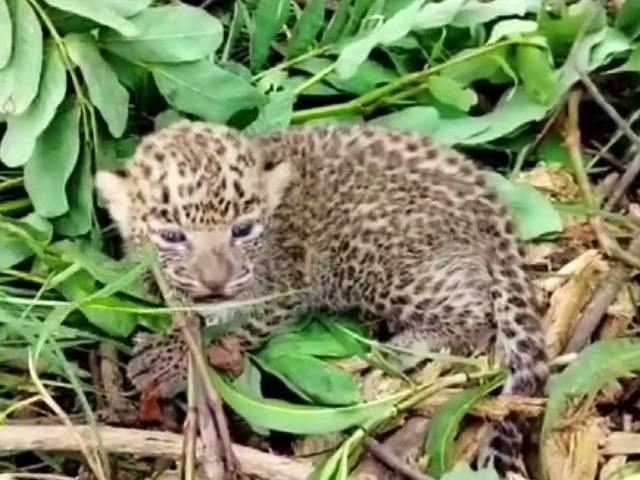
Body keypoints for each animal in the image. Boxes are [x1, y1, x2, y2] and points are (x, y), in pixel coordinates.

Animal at [96, 120, 549, 477]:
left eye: (243, 230)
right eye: (172, 236)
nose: (214, 283)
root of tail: (488, 201)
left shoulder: (282, 290)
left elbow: (232, 329)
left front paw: (164, 360)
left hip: (375, 258)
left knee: (475, 309)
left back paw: (401, 348)